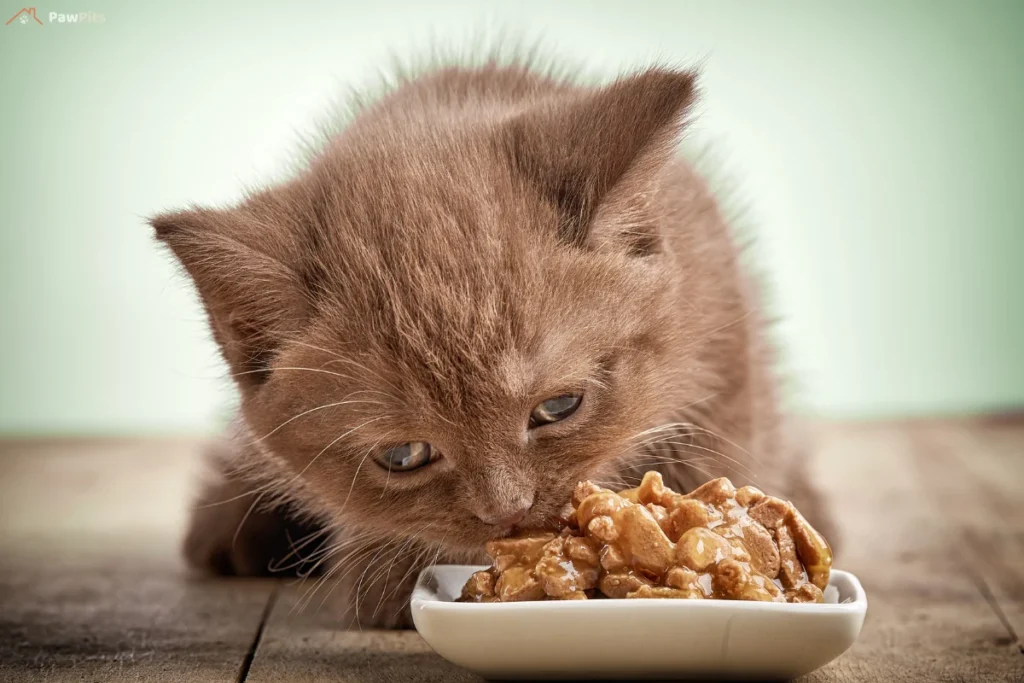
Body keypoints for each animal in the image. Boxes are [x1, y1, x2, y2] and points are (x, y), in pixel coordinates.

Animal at [151, 56, 831, 626]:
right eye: (403, 455)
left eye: (558, 407)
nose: (507, 511)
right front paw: (391, 579)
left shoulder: (724, 334)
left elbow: (721, 453)